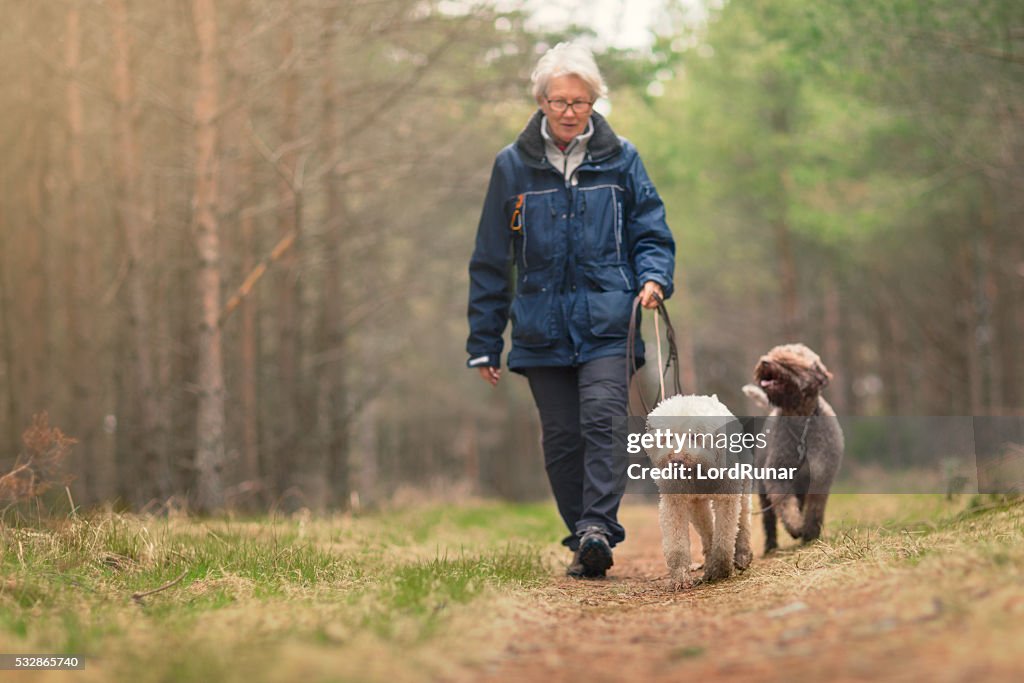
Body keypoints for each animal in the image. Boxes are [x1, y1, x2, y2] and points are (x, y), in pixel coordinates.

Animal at [643, 395, 757, 589]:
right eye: (668, 437)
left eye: (694, 437)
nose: (676, 460)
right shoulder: (674, 502)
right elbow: (677, 543)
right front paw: (680, 578)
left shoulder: (727, 496)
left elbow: (725, 535)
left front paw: (722, 569)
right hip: (697, 505)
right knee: (707, 530)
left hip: (744, 485)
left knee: (743, 519)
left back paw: (742, 554)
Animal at [745, 344, 839, 552]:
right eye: (772, 355)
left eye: (787, 361)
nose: (765, 362)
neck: (802, 426)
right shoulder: (777, 475)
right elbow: (786, 505)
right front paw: (796, 527)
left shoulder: (821, 474)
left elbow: (815, 507)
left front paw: (810, 532)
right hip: (763, 490)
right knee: (769, 520)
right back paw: (771, 546)